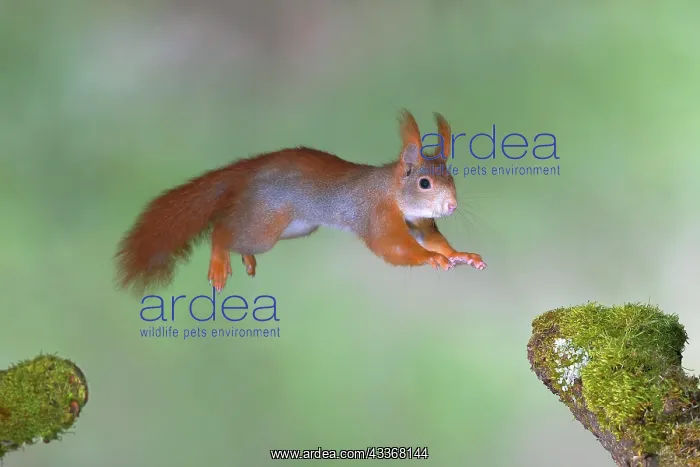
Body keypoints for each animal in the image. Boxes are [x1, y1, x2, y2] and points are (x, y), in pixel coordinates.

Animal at [115, 110, 487, 294]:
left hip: (295, 227)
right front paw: (431, 259)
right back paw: (220, 262)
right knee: (221, 229)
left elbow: (433, 239)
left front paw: (460, 255)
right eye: (424, 183)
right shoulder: (375, 213)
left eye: (451, 177)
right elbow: (393, 247)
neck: (394, 192)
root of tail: (248, 173)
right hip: (267, 224)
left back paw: (243, 258)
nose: (452, 206)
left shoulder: (419, 223)